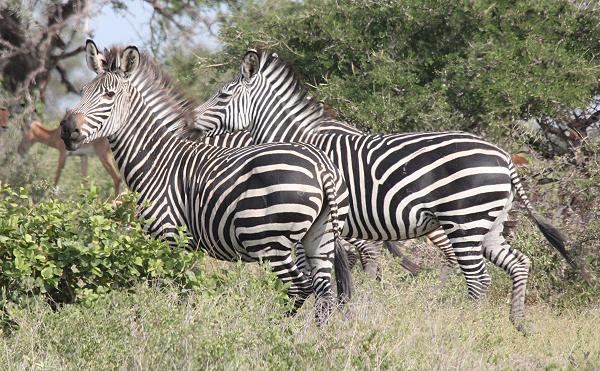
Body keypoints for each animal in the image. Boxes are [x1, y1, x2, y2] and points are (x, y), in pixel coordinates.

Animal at [59, 41, 352, 326]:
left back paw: (276, 331)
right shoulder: (186, 245)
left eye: (109, 95)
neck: (157, 159)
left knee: (299, 288)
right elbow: (188, 291)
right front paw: (185, 326)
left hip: (270, 242)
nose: (66, 129)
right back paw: (313, 337)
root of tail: (321, 167)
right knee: (324, 294)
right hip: (321, 236)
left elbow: (170, 291)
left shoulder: (168, 238)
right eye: (82, 92)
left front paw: (167, 326)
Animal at [192, 48, 576, 334]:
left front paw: (339, 316)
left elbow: (332, 273)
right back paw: (518, 324)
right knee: (518, 264)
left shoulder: (323, 227)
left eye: (223, 94)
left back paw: (468, 327)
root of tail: (504, 157)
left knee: (478, 278)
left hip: (464, 220)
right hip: (488, 223)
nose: (191, 122)